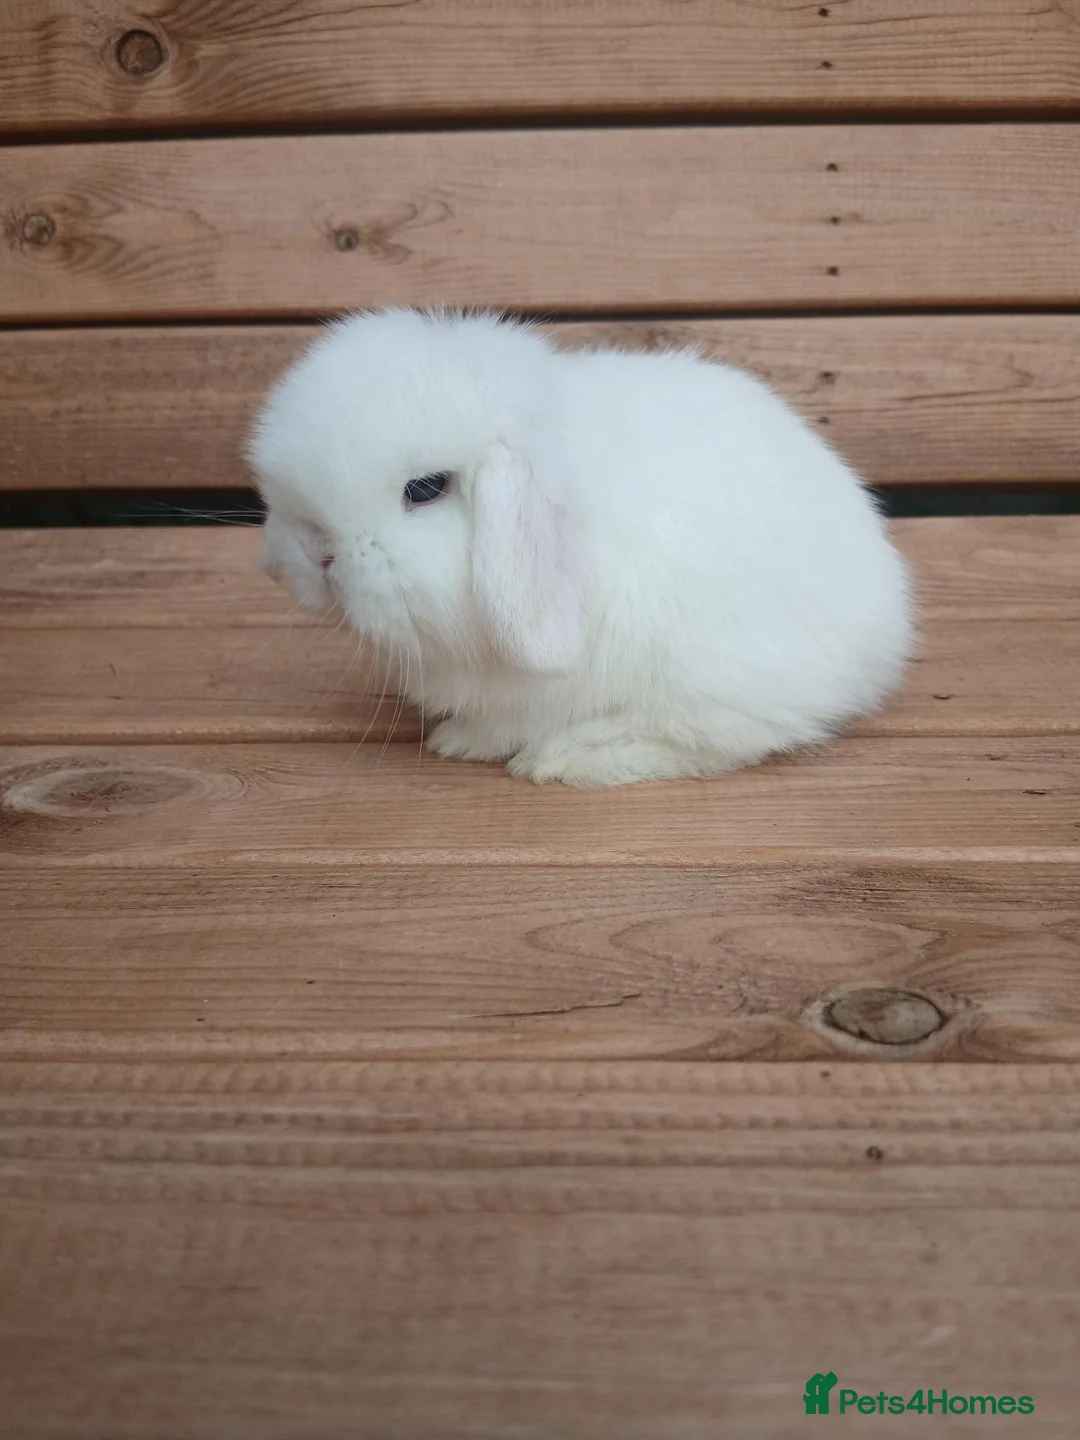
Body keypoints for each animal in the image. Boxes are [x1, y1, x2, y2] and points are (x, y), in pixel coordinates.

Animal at [248, 307, 912, 787]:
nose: (317, 555)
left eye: (426, 488)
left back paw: (570, 760)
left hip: (718, 676)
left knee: (718, 741)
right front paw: (459, 741)